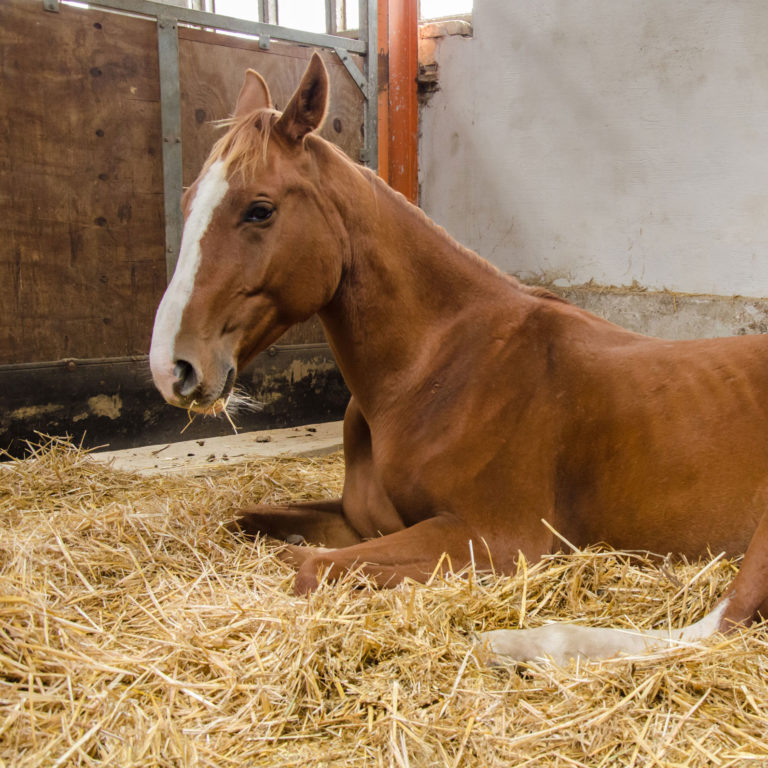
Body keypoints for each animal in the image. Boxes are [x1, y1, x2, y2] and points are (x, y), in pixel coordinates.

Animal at [149, 53, 768, 664]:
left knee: (716, 626)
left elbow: (310, 568)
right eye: (186, 201)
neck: (435, 370)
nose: (171, 368)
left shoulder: (496, 541)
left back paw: (515, 643)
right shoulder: (358, 517)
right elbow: (253, 525)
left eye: (260, 210)